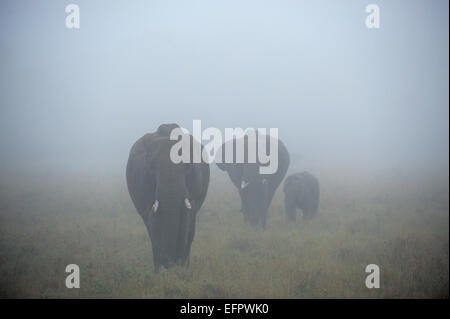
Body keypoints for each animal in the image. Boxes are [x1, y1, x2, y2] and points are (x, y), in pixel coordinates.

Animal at [125, 123, 210, 270]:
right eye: (151, 167)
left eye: (188, 166)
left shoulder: (195, 182)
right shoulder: (144, 183)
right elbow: (153, 222)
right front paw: (162, 270)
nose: (171, 262)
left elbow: (188, 217)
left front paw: (181, 269)